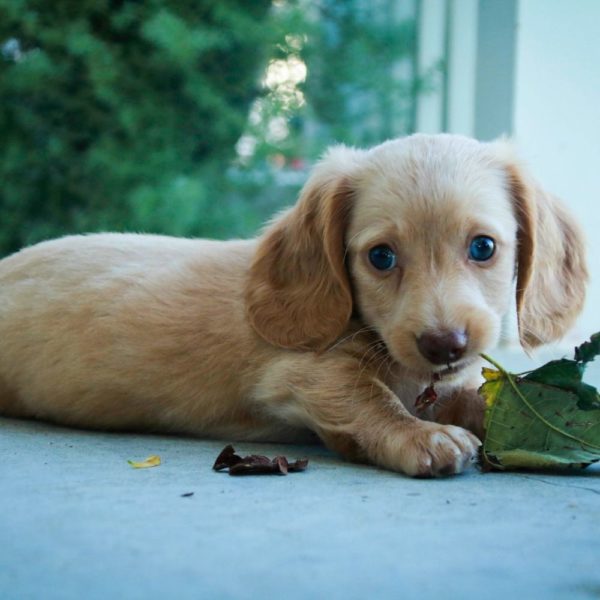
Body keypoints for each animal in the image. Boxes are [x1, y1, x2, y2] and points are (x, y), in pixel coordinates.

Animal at [0, 134, 584, 476]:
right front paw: (419, 435)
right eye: (381, 257)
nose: (445, 346)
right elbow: (369, 399)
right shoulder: (303, 375)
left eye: (483, 247)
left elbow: (473, 398)